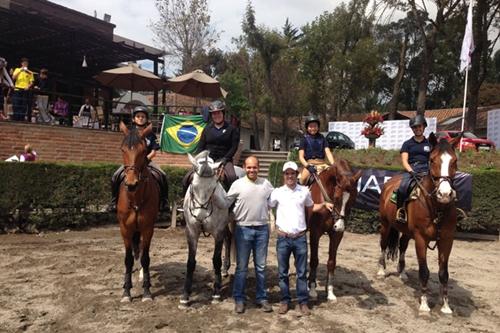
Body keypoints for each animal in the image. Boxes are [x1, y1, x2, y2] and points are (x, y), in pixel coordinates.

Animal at [180, 149, 230, 304]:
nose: (200, 216)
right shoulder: (191, 232)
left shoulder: (218, 232)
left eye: (213, 187)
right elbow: (190, 262)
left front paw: (216, 292)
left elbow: (216, 260)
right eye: (194, 185)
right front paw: (185, 295)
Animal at [306, 158, 362, 300]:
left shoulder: (336, 235)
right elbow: (314, 260)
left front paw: (330, 292)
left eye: (353, 199)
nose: (340, 226)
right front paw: (312, 289)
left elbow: (332, 262)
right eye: (337, 197)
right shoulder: (315, 233)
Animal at [378, 133, 460, 314]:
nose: (445, 194)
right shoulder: (421, 239)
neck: (436, 208)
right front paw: (424, 304)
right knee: (383, 245)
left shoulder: (447, 240)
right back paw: (381, 270)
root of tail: (388, 184)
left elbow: (444, 273)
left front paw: (445, 306)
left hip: (407, 232)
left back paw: (402, 272)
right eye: (432, 160)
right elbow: (424, 272)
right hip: (386, 225)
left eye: (454, 160)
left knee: (402, 245)